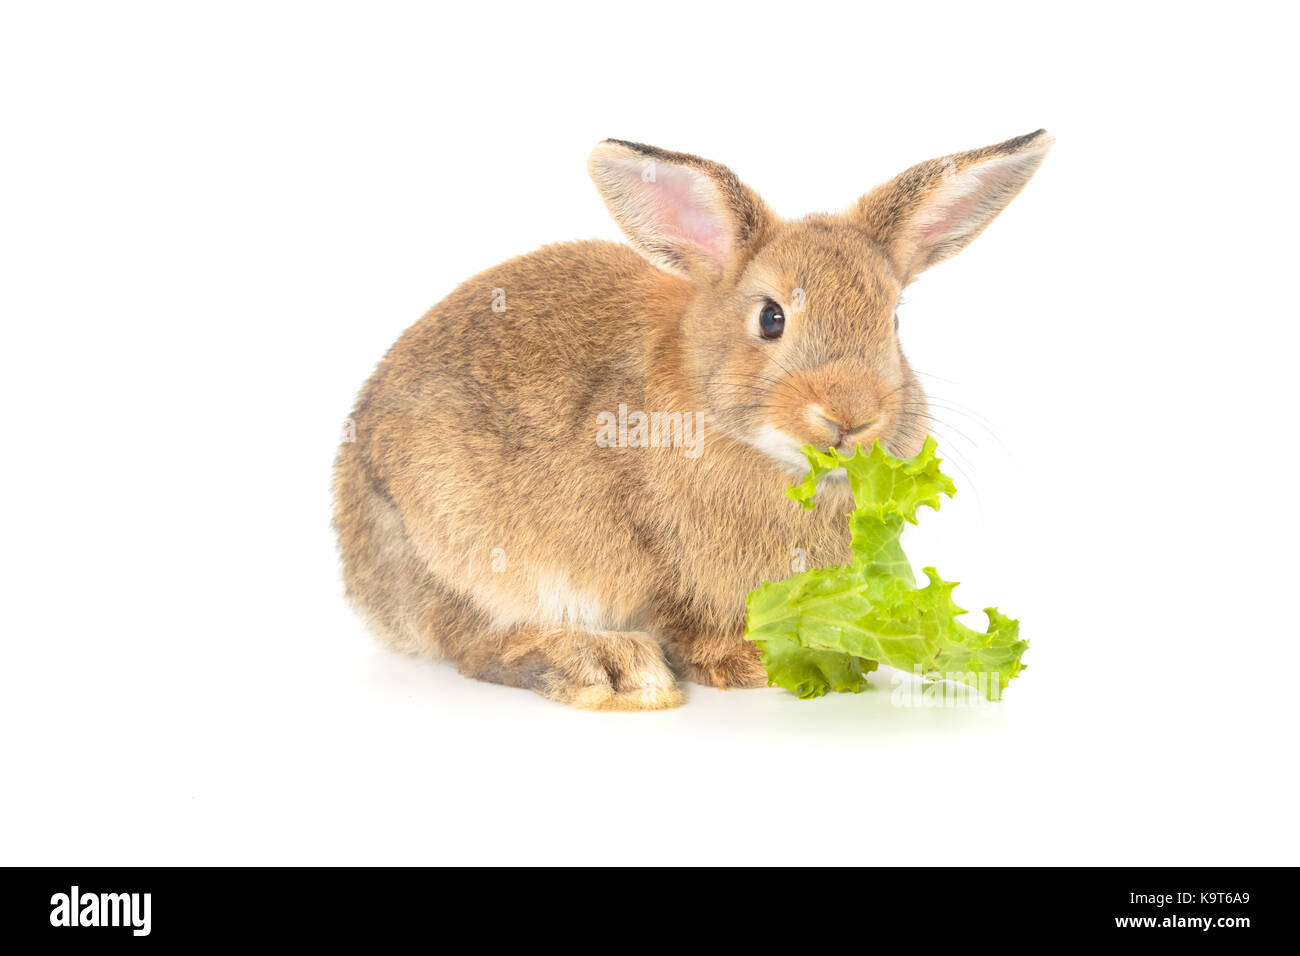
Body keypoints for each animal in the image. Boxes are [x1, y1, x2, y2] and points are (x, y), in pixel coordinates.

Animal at [334, 130, 1052, 709]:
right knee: (477, 645)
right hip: (460, 543)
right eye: (771, 318)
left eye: (894, 322)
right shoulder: (661, 564)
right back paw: (608, 668)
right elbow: (685, 621)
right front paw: (747, 665)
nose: (851, 416)